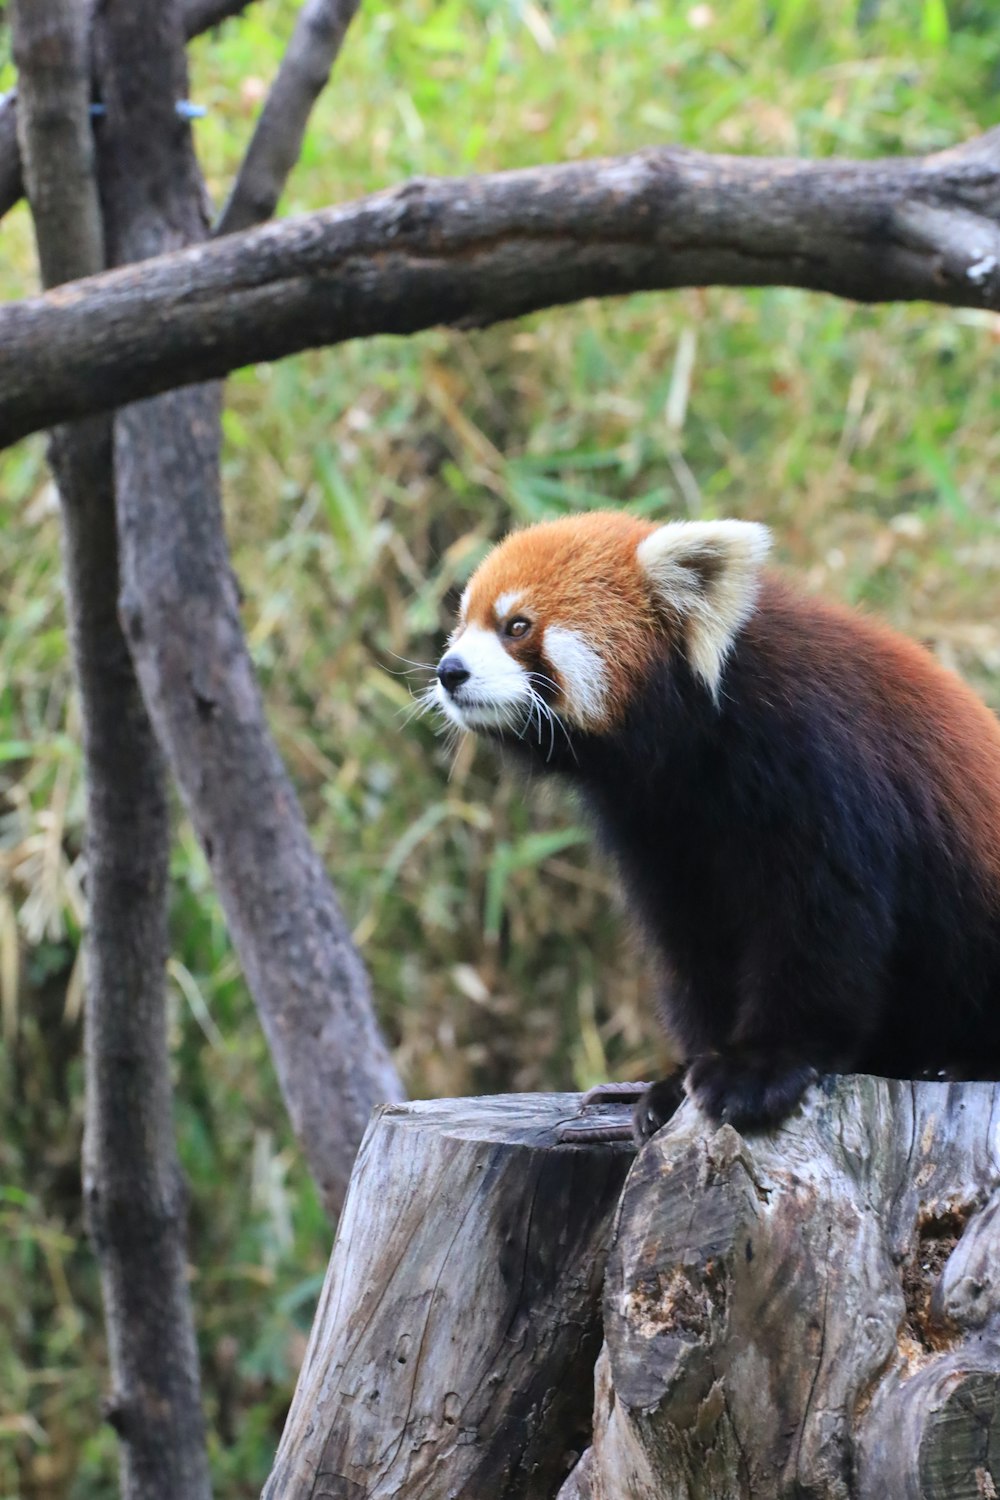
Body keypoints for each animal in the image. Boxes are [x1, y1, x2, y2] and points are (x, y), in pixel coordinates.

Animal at [431, 516, 1000, 1134]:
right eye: (462, 624)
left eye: (516, 626)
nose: (449, 670)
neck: (697, 737)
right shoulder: (663, 829)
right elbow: (694, 941)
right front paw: (680, 1078)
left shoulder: (824, 766)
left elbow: (821, 925)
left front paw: (759, 1067)